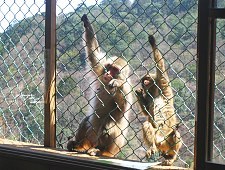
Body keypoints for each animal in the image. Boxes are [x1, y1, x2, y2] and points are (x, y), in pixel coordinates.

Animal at [67, 13, 133, 157]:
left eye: (115, 70)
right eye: (109, 67)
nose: (108, 73)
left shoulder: (128, 89)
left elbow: (123, 109)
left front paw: (117, 83)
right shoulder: (100, 70)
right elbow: (94, 55)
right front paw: (86, 22)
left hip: (115, 146)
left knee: (109, 125)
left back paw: (102, 152)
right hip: (91, 137)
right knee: (88, 120)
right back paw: (79, 146)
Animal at [134, 34, 182, 166]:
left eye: (147, 79)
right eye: (144, 80)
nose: (144, 82)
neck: (155, 92)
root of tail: (161, 143)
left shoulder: (163, 85)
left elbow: (160, 67)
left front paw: (153, 43)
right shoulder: (150, 93)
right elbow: (147, 113)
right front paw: (139, 94)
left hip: (167, 141)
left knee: (175, 134)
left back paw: (171, 157)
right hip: (158, 140)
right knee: (148, 125)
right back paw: (152, 147)